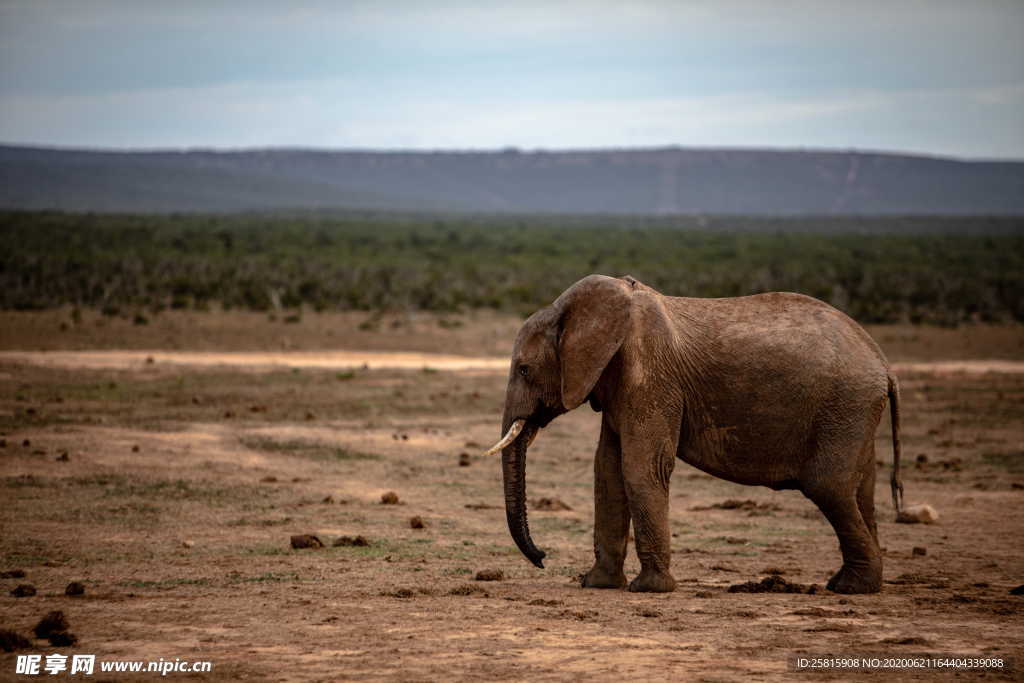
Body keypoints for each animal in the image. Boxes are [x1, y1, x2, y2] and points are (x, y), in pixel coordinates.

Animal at [483, 274, 901, 593]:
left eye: (524, 369)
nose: (542, 558)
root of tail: (883, 363)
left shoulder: (651, 376)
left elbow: (641, 468)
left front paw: (649, 589)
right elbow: (608, 472)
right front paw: (597, 584)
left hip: (845, 406)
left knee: (828, 487)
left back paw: (852, 587)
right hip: (854, 413)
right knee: (862, 492)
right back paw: (852, 583)